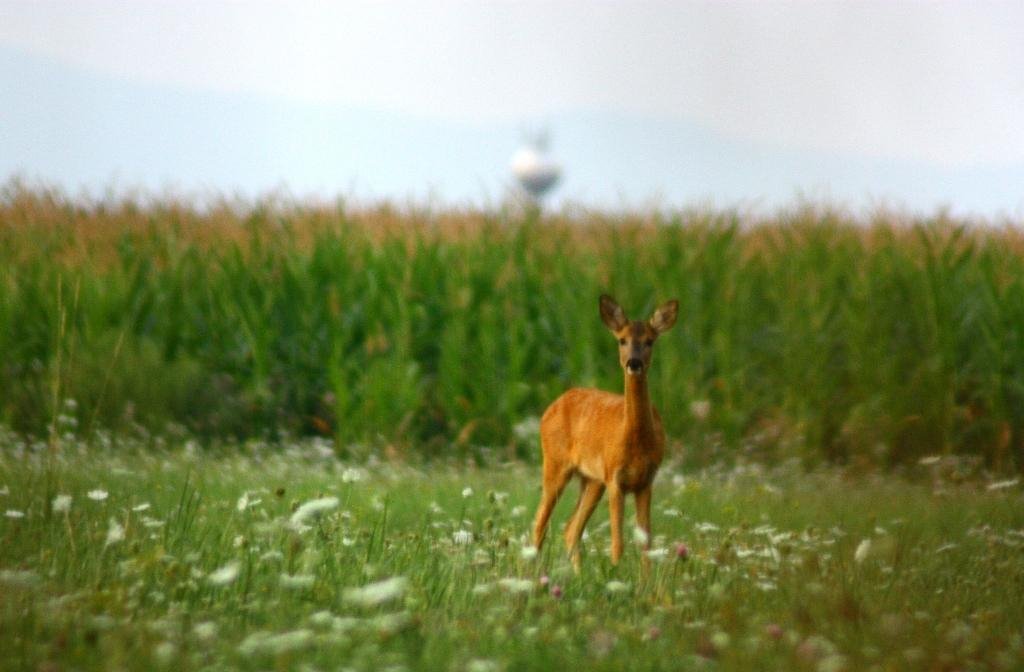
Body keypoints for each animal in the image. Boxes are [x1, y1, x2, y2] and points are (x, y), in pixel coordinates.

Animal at [532, 295, 675, 565]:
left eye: (649, 341)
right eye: (622, 340)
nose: (634, 363)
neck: (635, 440)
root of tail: (551, 407)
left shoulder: (646, 481)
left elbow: (646, 544)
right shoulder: (615, 478)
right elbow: (618, 543)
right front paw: (617, 570)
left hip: (591, 479)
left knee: (571, 529)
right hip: (556, 463)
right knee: (540, 524)